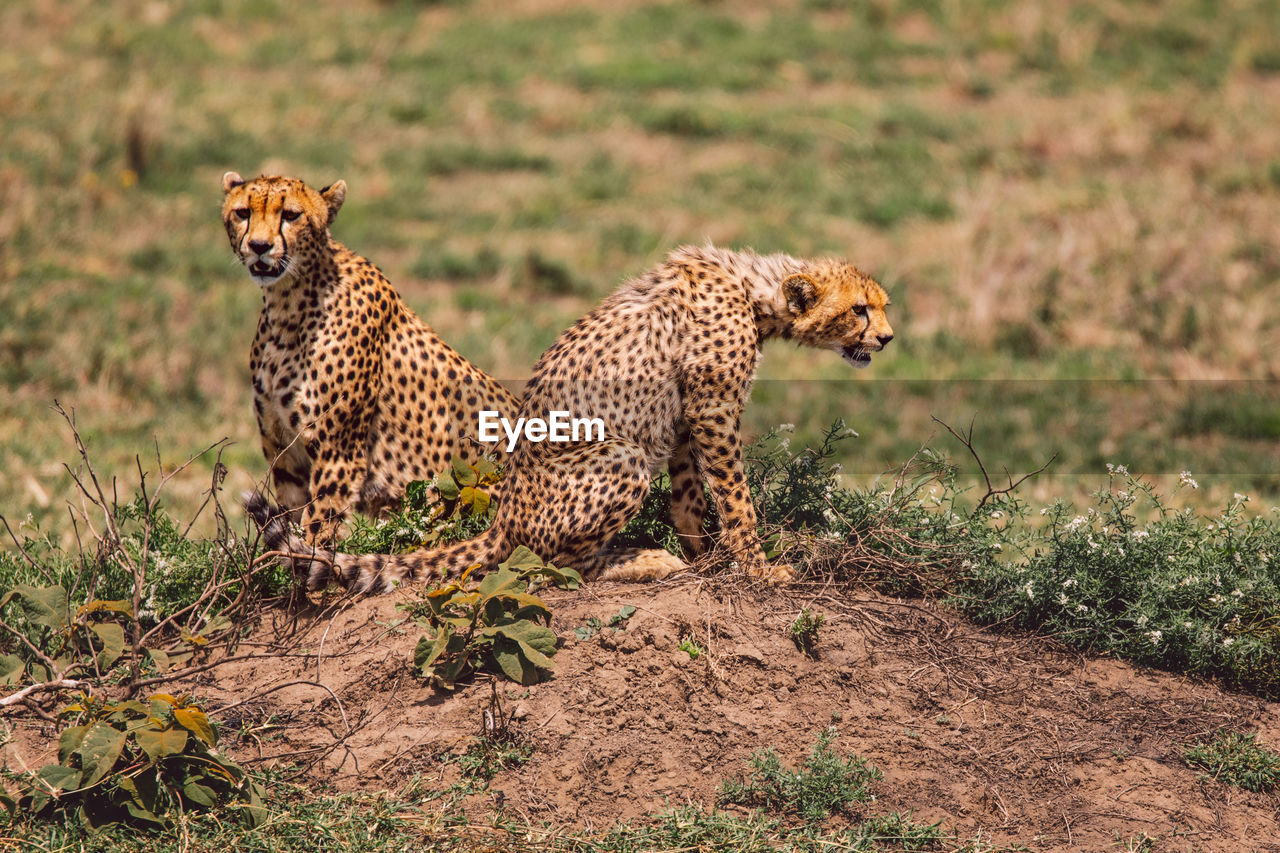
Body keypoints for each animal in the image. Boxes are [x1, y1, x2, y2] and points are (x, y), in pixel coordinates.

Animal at [222, 174, 517, 540]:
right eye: (242, 212)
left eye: (291, 215)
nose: (260, 246)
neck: (288, 305)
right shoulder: (286, 456)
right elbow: (293, 521)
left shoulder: (338, 455)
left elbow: (317, 527)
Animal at [249, 244, 890, 584]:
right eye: (860, 310)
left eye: (880, 306)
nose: (886, 338)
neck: (754, 289)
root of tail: (503, 516)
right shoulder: (713, 409)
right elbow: (735, 496)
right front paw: (757, 567)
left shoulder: (685, 418)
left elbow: (689, 497)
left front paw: (703, 557)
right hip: (619, 458)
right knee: (562, 565)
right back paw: (638, 562)